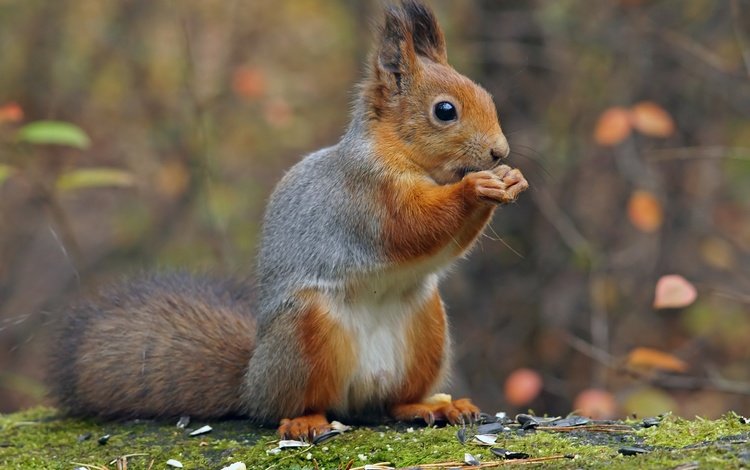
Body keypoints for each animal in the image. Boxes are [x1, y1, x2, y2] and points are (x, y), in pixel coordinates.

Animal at [48, 0, 528, 440]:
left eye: (487, 97)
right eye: (445, 111)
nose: (499, 152)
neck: (406, 157)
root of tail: (251, 384)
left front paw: (510, 179)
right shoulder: (367, 198)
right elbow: (412, 226)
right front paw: (476, 187)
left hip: (426, 327)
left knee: (392, 401)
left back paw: (432, 406)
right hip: (305, 334)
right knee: (292, 404)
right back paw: (305, 420)